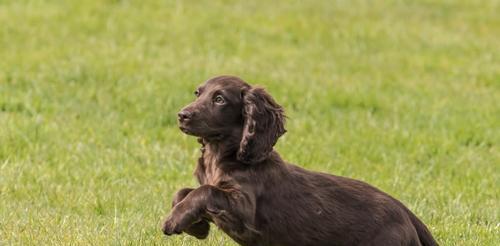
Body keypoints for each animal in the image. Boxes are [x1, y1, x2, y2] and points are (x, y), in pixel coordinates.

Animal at [161, 76, 438, 245]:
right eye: (197, 93)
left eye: (219, 99)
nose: (181, 115)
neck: (222, 156)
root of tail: (406, 213)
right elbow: (182, 191)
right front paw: (197, 227)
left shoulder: (245, 209)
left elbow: (205, 191)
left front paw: (174, 221)